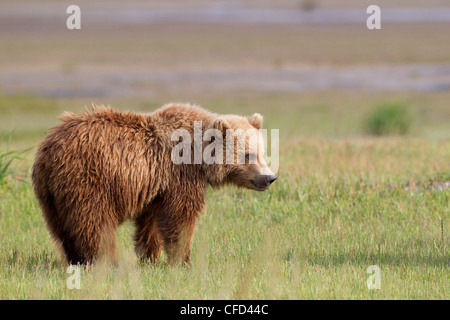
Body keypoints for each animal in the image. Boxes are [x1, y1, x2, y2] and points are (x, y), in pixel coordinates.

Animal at [31, 103, 276, 264]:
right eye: (248, 155)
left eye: (262, 153)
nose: (269, 178)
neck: (198, 155)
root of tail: (47, 150)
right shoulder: (180, 174)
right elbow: (181, 216)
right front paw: (183, 260)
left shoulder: (157, 185)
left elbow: (150, 221)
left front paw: (150, 257)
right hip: (89, 178)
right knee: (94, 222)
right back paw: (106, 261)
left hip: (52, 195)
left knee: (62, 228)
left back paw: (76, 259)